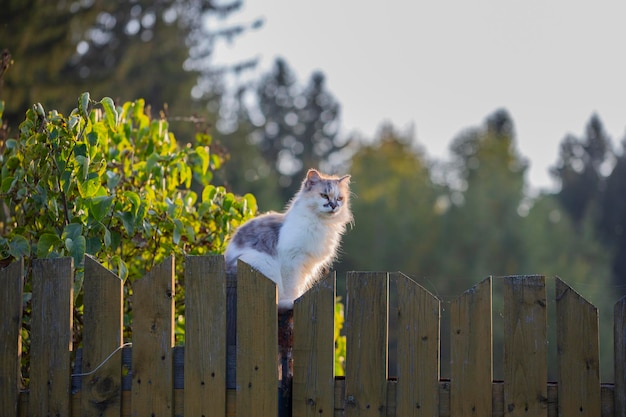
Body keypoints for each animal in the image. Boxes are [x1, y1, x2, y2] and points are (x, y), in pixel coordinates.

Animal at [223, 168, 352, 308]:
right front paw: (290, 301)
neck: (320, 223)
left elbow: (299, 286)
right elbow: (291, 287)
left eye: (339, 199)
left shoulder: (308, 266)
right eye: (324, 195)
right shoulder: (291, 260)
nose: (334, 205)